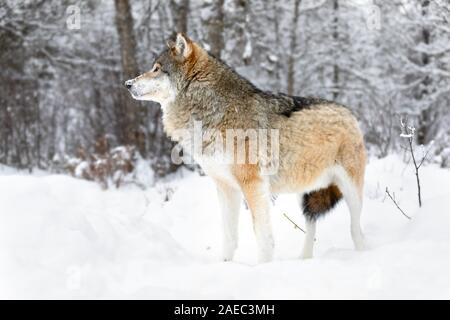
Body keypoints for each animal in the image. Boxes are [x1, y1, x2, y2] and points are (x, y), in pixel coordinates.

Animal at [125, 33, 368, 262]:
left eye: (156, 69)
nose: (127, 84)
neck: (213, 111)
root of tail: (350, 113)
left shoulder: (253, 185)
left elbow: (262, 236)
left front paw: (263, 266)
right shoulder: (225, 187)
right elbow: (229, 236)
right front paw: (226, 265)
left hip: (350, 192)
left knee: (356, 230)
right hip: (308, 195)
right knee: (312, 226)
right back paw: (304, 260)